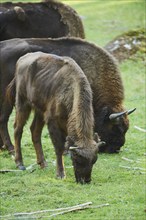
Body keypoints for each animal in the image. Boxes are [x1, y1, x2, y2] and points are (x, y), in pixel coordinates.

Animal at [0, 37, 136, 155]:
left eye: (126, 128)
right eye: (116, 128)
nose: (116, 148)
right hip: (8, 98)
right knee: (3, 119)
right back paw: (11, 149)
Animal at [12, 52, 104, 184]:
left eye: (94, 160)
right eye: (77, 159)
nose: (85, 180)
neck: (71, 89)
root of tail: (21, 59)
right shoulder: (53, 122)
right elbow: (59, 148)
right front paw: (60, 174)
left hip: (39, 111)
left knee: (35, 131)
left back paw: (43, 164)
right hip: (23, 103)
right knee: (18, 130)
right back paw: (20, 163)